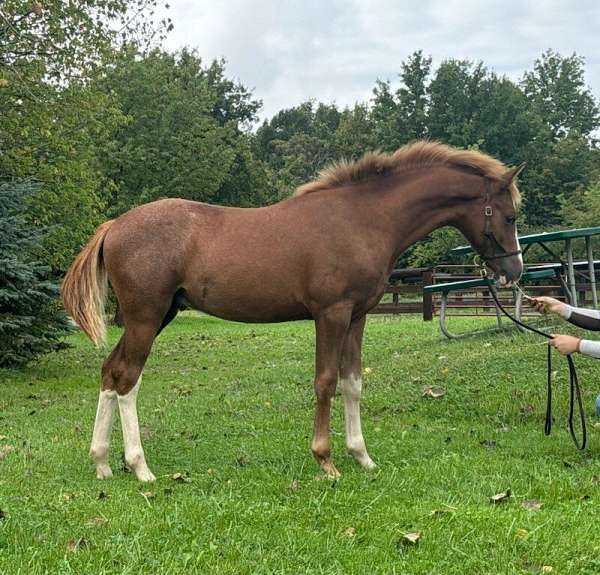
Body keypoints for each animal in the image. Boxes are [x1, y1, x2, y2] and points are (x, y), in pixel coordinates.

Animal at [58, 143, 524, 482]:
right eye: (509, 215)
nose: (513, 272)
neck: (363, 219)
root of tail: (114, 226)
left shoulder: (357, 317)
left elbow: (352, 383)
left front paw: (362, 457)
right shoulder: (331, 315)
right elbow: (325, 382)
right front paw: (326, 461)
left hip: (157, 316)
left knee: (111, 372)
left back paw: (102, 463)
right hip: (146, 317)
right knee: (127, 379)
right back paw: (140, 468)